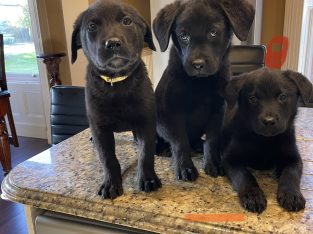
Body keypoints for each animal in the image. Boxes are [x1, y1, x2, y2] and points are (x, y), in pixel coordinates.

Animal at [71, 0, 161, 200]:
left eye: (127, 21)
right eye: (92, 26)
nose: (112, 43)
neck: (117, 83)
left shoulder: (146, 121)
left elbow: (146, 153)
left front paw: (148, 178)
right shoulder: (100, 128)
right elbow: (107, 158)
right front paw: (111, 184)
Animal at [152, 0, 255, 181]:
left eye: (213, 32)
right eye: (183, 36)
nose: (198, 65)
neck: (200, 83)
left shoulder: (218, 111)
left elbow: (212, 140)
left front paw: (213, 162)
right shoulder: (171, 112)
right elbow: (180, 142)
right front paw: (184, 167)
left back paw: (199, 145)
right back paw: (163, 149)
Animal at [222, 66, 312, 213]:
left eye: (283, 97)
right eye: (252, 98)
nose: (269, 121)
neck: (265, 140)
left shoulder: (294, 158)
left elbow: (290, 174)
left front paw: (291, 194)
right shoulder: (229, 159)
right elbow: (244, 175)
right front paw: (253, 195)